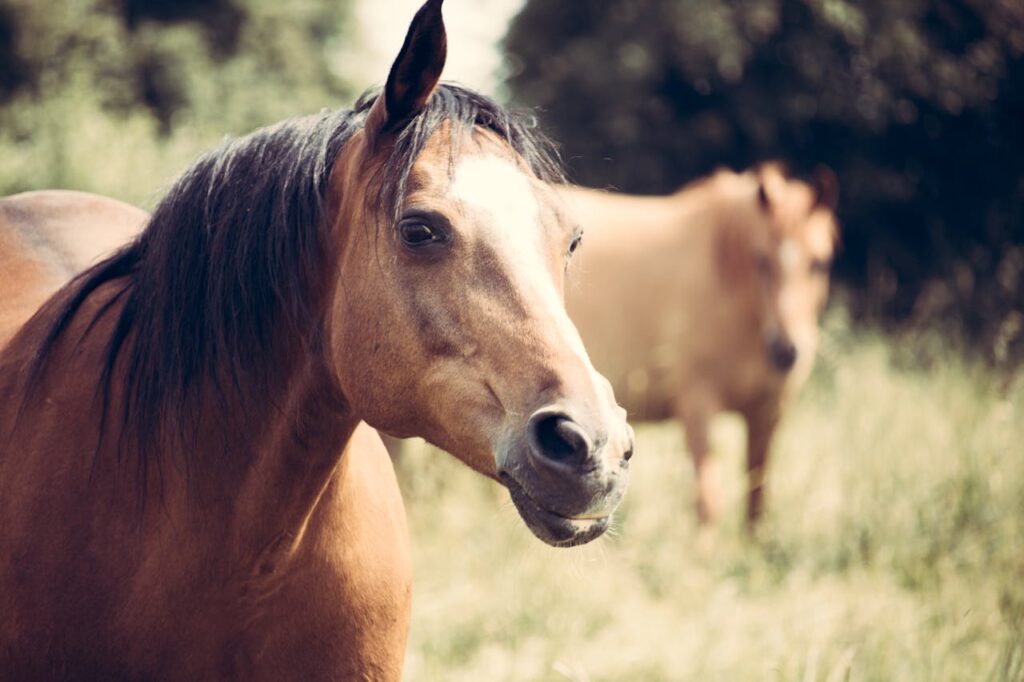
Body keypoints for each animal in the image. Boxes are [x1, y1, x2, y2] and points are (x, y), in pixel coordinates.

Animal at [565, 163, 835, 524]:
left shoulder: (767, 412)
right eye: (761, 260)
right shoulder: (697, 405)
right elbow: (709, 502)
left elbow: (757, 500)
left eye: (820, 263)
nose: (786, 351)